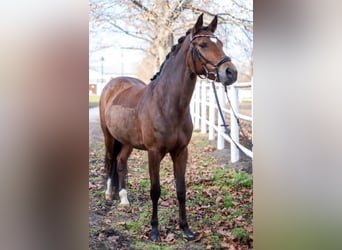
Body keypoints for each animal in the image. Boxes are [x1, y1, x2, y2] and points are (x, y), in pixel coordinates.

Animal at [99, 13, 238, 240]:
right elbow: (155, 190)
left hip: (127, 141)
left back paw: (124, 198)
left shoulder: (181, 152)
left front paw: (186, 229)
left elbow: (181, 190)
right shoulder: (154, 153)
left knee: (121, 162)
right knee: (110, 160)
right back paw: (110, 193)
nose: (231, 72)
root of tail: (113, 84)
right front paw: (155, 231)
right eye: (203, 44)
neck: (167, 104)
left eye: (221, 44)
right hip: (109, 137)